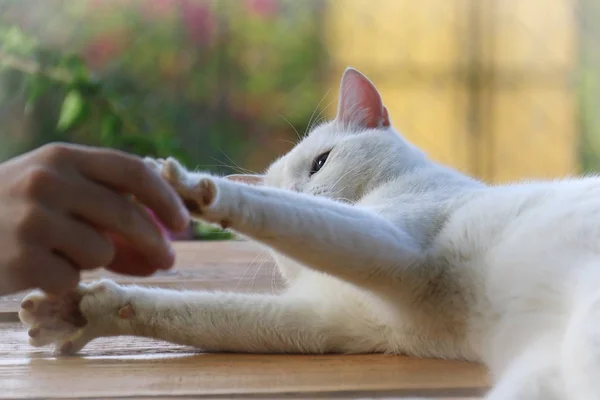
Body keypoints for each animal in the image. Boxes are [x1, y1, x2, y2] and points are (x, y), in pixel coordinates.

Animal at [18, 67, 600, 398]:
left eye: (321, 163)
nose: (302, 188)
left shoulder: (391, 241)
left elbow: (276, 214)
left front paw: (188, 186)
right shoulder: (323, 319)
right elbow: (198, 312)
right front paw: (78, 311)